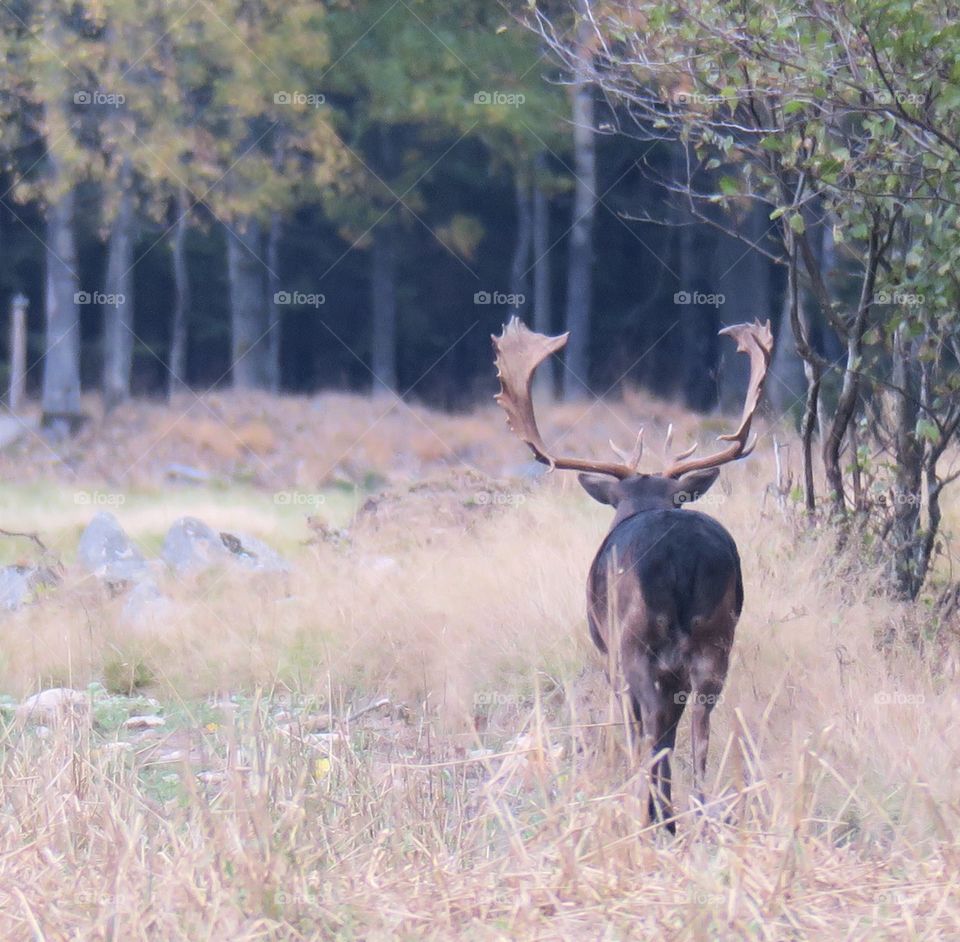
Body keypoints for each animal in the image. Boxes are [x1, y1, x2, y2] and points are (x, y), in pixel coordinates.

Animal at [492, 317, 772, 832]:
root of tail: (681, 555)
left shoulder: (609, 655)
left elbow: (636, 728)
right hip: (716, 637)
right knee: (699, 728)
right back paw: (694, 812)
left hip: (634, 641)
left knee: (652, 726)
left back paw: (656, 816)